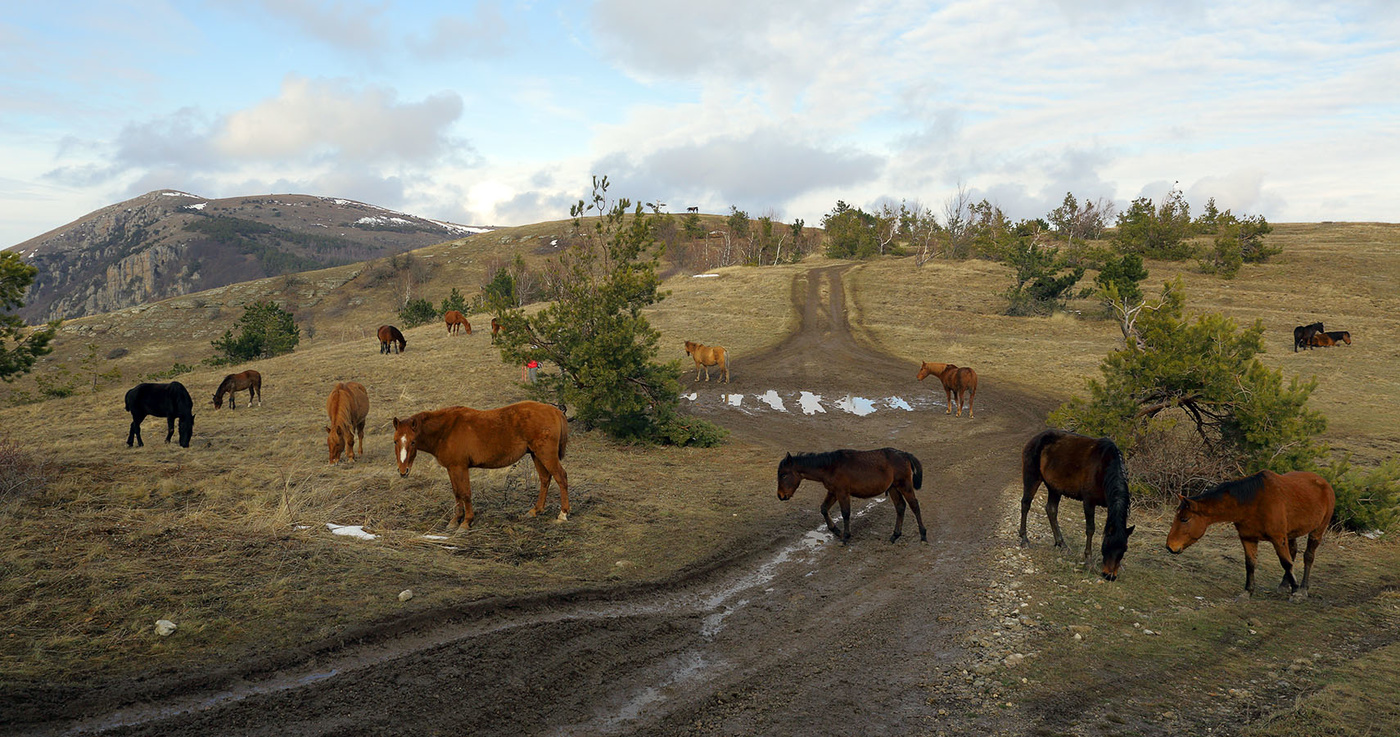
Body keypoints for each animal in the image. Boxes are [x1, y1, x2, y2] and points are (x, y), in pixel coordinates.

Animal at [394, 400, 568, 535]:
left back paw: (563, 514)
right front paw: (455, 520)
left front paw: (466, 522)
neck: (447, 429)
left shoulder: (460, 467)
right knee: (545, 479)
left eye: (413, 442)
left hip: (546, 455)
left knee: (561, 477)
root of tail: (555, 410)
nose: (403, 471)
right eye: (395, 441)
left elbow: (465, 493)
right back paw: (535, 510)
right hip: (536, 455)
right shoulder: (451, 468)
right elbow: (457, 493)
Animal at [778, 448, 929, 546]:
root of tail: (905, 455)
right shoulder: (833, 492)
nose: (780, 496)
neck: (830, 467)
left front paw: (845, 537)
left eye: (784, 475)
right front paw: (837, 531)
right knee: (900, 507)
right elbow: (824, 508)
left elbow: (845, 513)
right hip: (893, 488)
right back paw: (895, 535)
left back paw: (923, 535)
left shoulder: (842, 493)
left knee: (914, 505)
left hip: (904, 486)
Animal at [1019, 428, 1136, 582]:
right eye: (1107, 545)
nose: (1109, 576)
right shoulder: (1089, 501)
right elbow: (1090, 529)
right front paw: (1088, 562)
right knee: (1026, 504)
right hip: (1032, 476)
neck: (1104, 468)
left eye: (1124, 549)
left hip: (1054, 487)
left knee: (1051, 510)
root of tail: (1034, 439)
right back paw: (1024, 539)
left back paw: (1062, 544)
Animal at [1159, 470, 1332, 605]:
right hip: (1291, 534)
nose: (1170, 546)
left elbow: (1286, 563)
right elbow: (1250, 564)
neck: (1253, 502)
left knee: (1308, 557)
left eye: (1184, 519)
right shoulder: (1248, 538)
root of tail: (1324, 483)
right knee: (1294, 551)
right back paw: (1284, 585)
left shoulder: (1278, 538)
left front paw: (1296, 593)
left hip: (1317, 531)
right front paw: (1247, 592)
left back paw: (1303, 588)